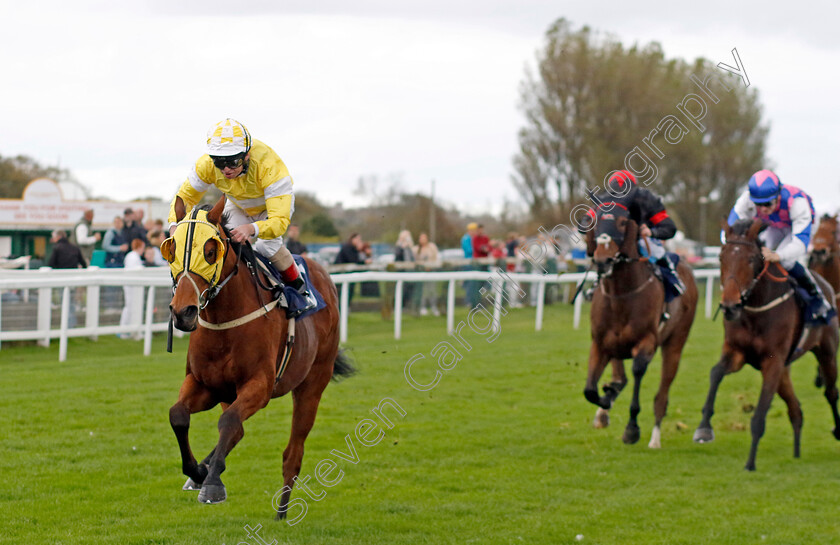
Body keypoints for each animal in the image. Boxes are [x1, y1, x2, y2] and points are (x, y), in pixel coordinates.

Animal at [164, 197, 352, 516]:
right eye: (171, 250)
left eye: (211, 251)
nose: (183, 312)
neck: (225, 320)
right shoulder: (206, 385)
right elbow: (178, 415)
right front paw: (198, 472)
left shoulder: (260, 386)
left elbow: (228, 422)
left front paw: (212, 484)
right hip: (229, 392)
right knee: (237, 430)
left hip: (313, 383)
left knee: (293, 452)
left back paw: (282, 511)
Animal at [580, 204, 700, 446]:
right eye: (595, 221)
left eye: (622, 223)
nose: (603, 261)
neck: (621, 294)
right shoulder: (600, 343)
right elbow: (590, 390)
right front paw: (606, 400)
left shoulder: (647, 342)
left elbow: (637, 370)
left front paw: (632, 429)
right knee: (620, 376)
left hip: (675, 343)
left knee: (662, 396)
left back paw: (655, 439)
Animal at [692, 219, 840, 470]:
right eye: (721, 257)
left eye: (751, 259)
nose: (729, 306)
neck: (755, 309)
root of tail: (827, 286)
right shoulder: (736, 352)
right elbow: (715, 373)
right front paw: (704, 428)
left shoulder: (773, 362)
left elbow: (760, 414)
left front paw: (750, 463)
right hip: (785, 371)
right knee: (796, 409)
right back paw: (797, 452)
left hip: (826, 352)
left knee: (831, 392)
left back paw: (837, 429)